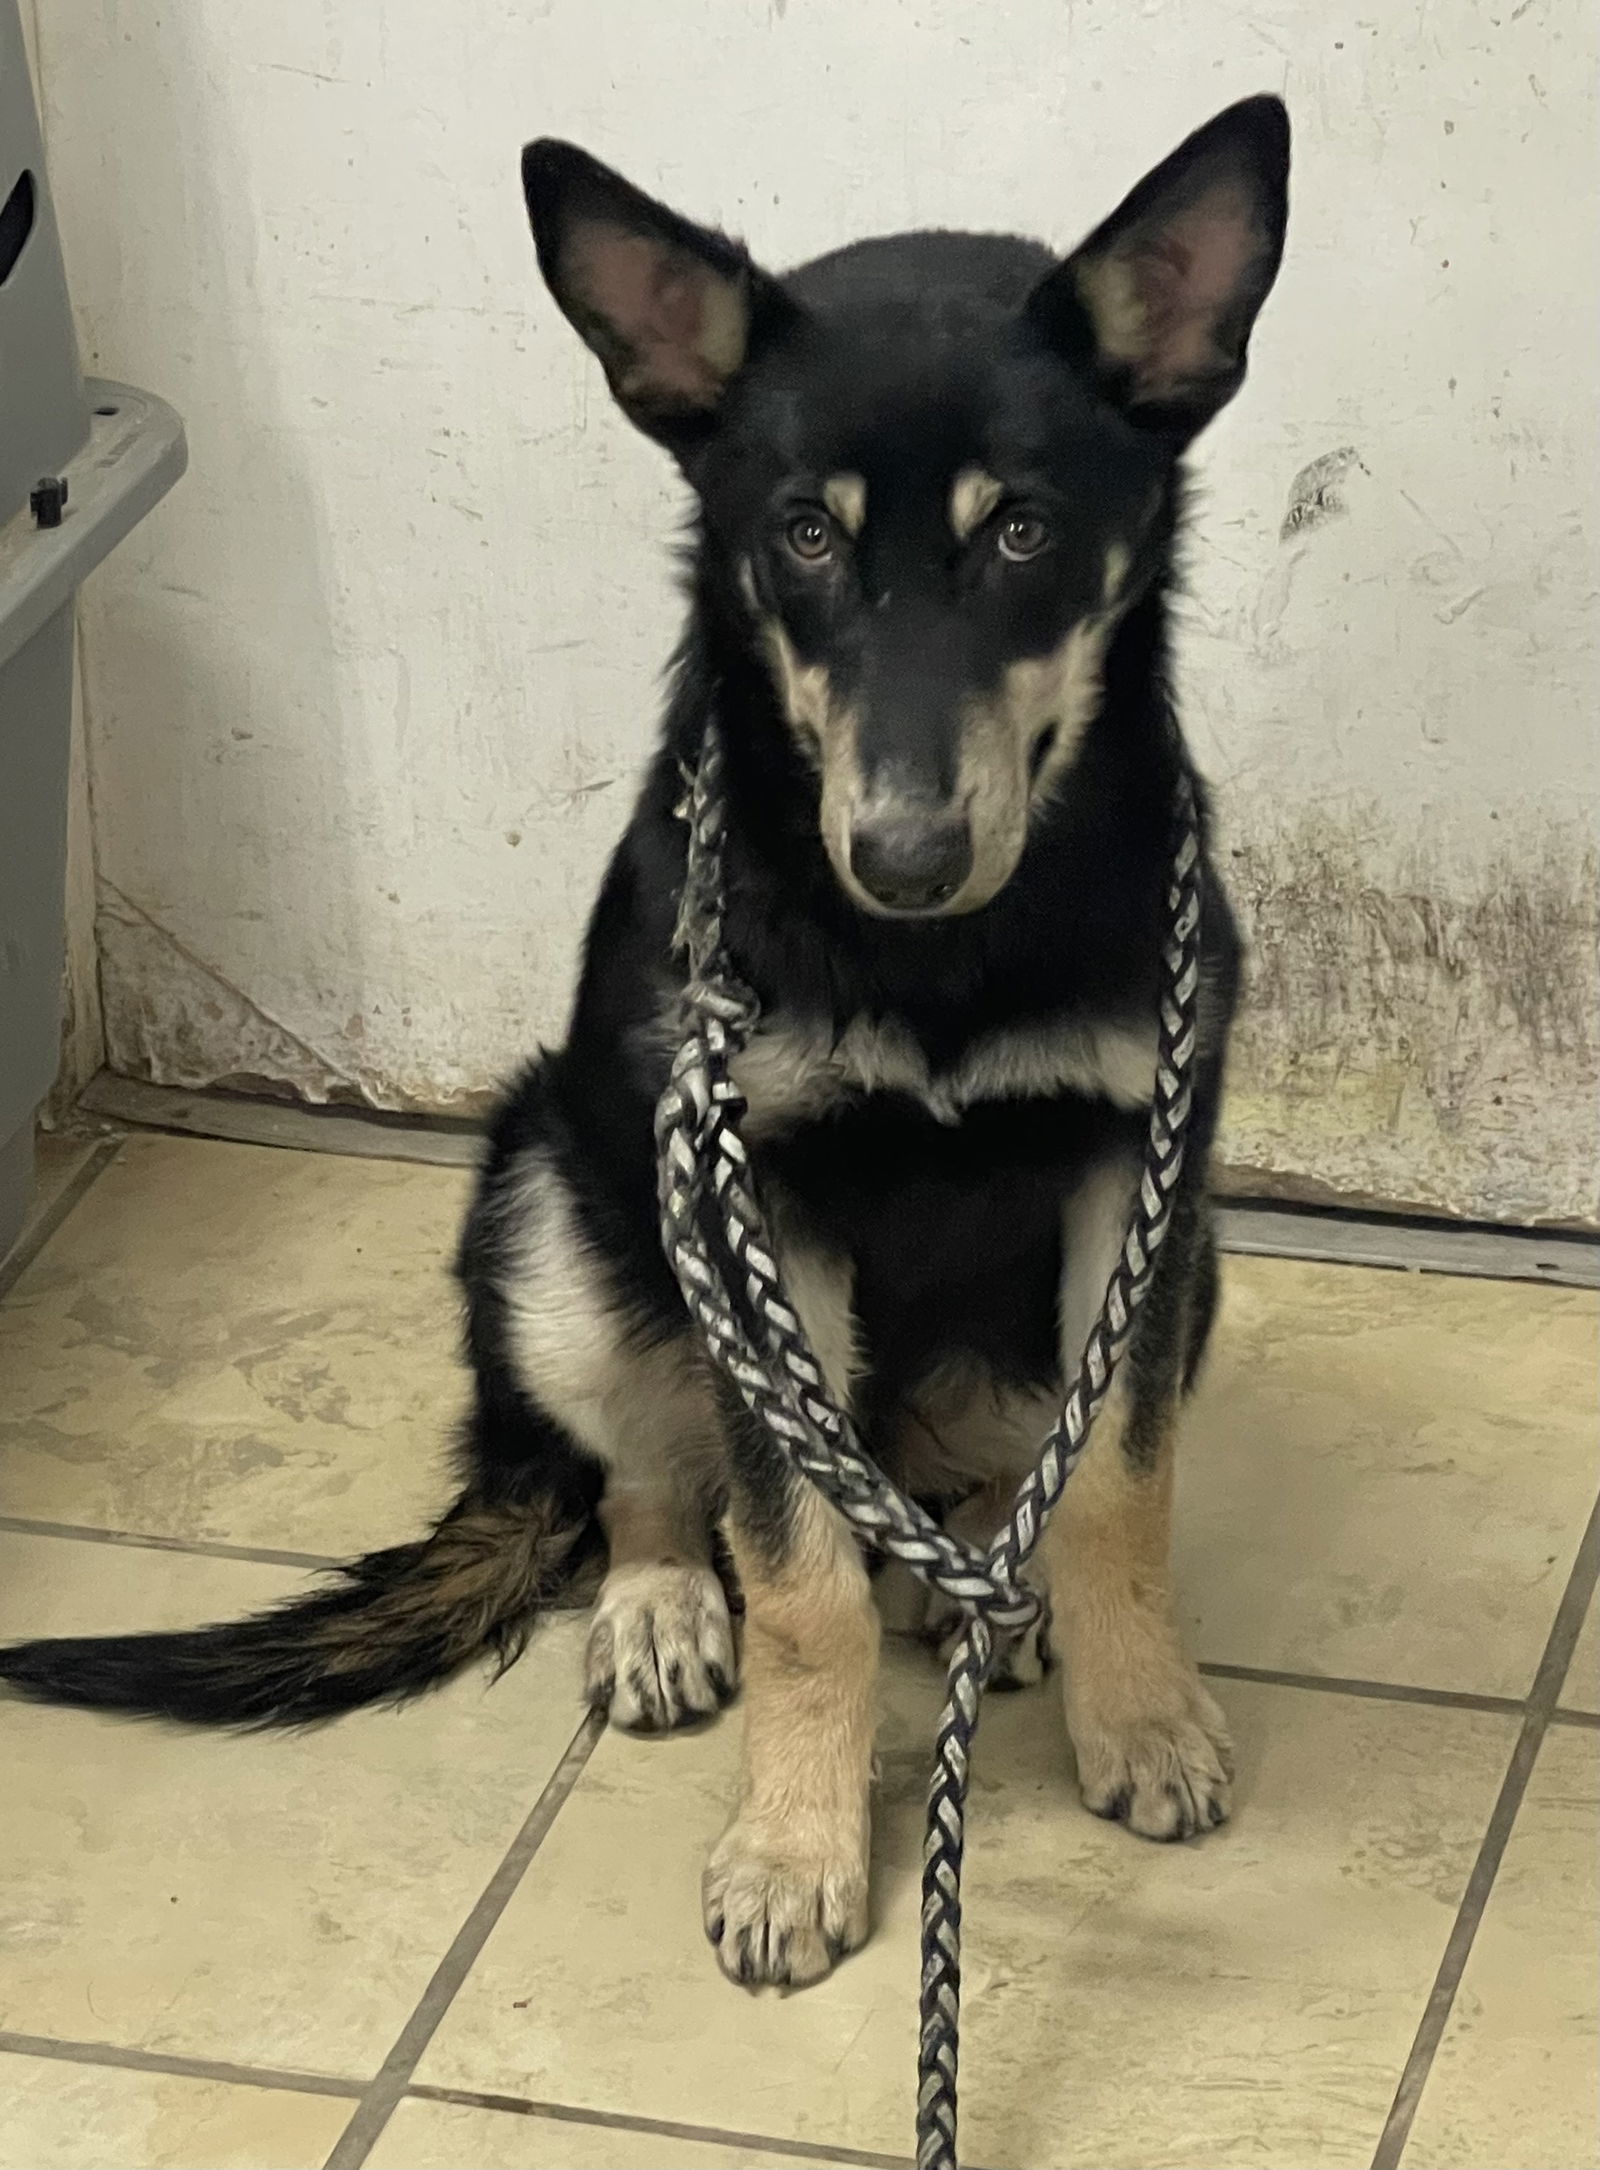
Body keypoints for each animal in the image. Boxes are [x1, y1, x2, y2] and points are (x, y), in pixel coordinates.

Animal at [0, 105, 1285, 1996]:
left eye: (1026, 534)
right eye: (803, 538)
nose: (904, 856)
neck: (942, 957)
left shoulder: (1139, 1178)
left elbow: (1119, 1486)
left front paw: (1144, 1718)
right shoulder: (745, 1215)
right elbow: (801, 1570)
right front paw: (794, 1844)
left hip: (1157, 1285)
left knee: (970, 1480)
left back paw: (985, 1572)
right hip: (554, 1209)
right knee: (656, 1476)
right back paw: (667, 1604)